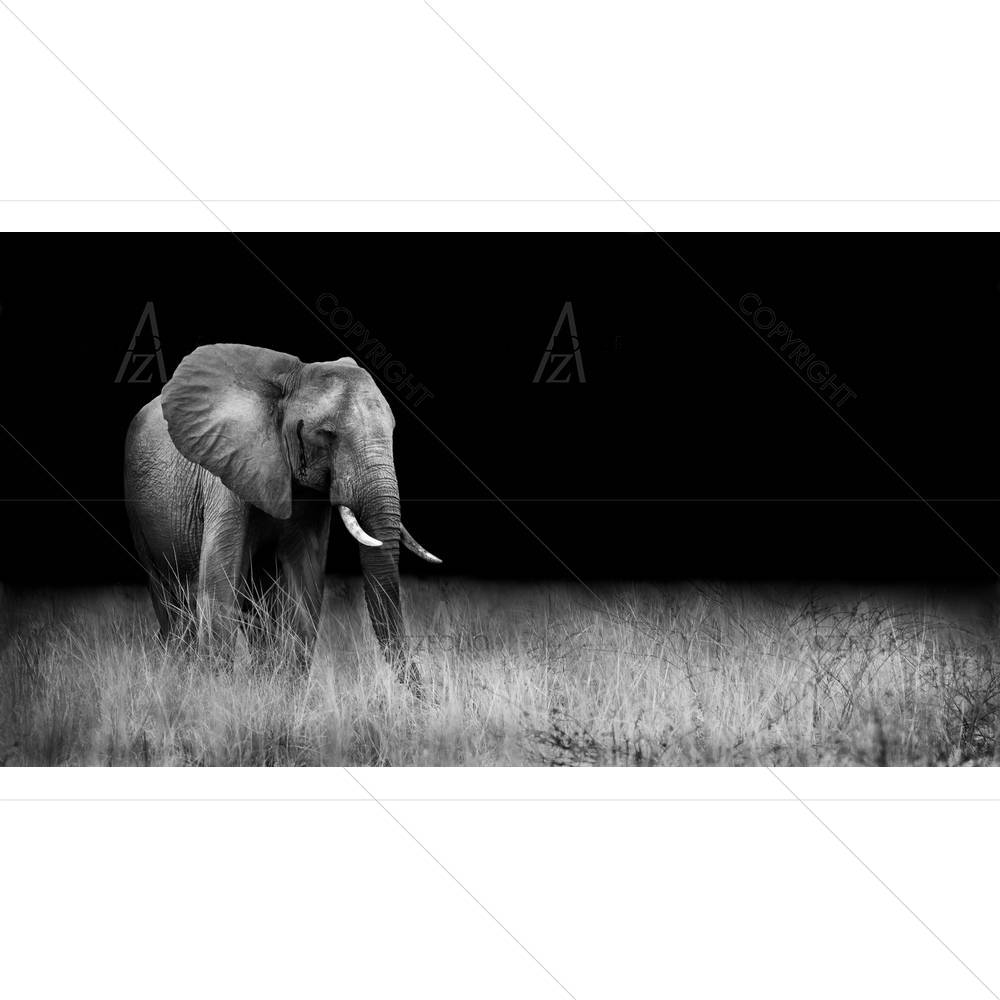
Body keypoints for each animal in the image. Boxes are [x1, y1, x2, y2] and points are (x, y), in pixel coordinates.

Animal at [123, 343, 441, 686]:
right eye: (327, 434)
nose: (428, 694)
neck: (290, 381)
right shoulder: (227, 472)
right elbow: (219, 581)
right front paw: (216, 690)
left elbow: (305, 583)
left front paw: (283, 690)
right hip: (138, 510)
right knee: (169, 598)